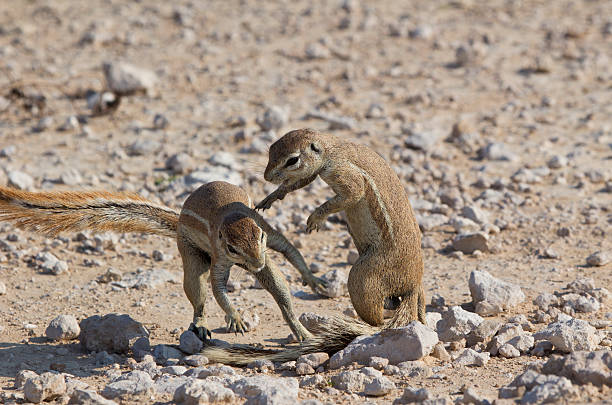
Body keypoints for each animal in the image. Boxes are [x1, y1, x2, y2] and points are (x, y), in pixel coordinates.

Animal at [0, 181, 326, 342]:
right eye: (232, 247)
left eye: (258, 236)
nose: (254, 264)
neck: (230, 217)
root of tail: (179, 218)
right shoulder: (221, 258)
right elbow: (218, 288)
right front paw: (234, 316)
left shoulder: (267, 244)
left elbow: (286, 265)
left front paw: (311, 295)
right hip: (190, 254)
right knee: (198, 292)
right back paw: (201, 325)